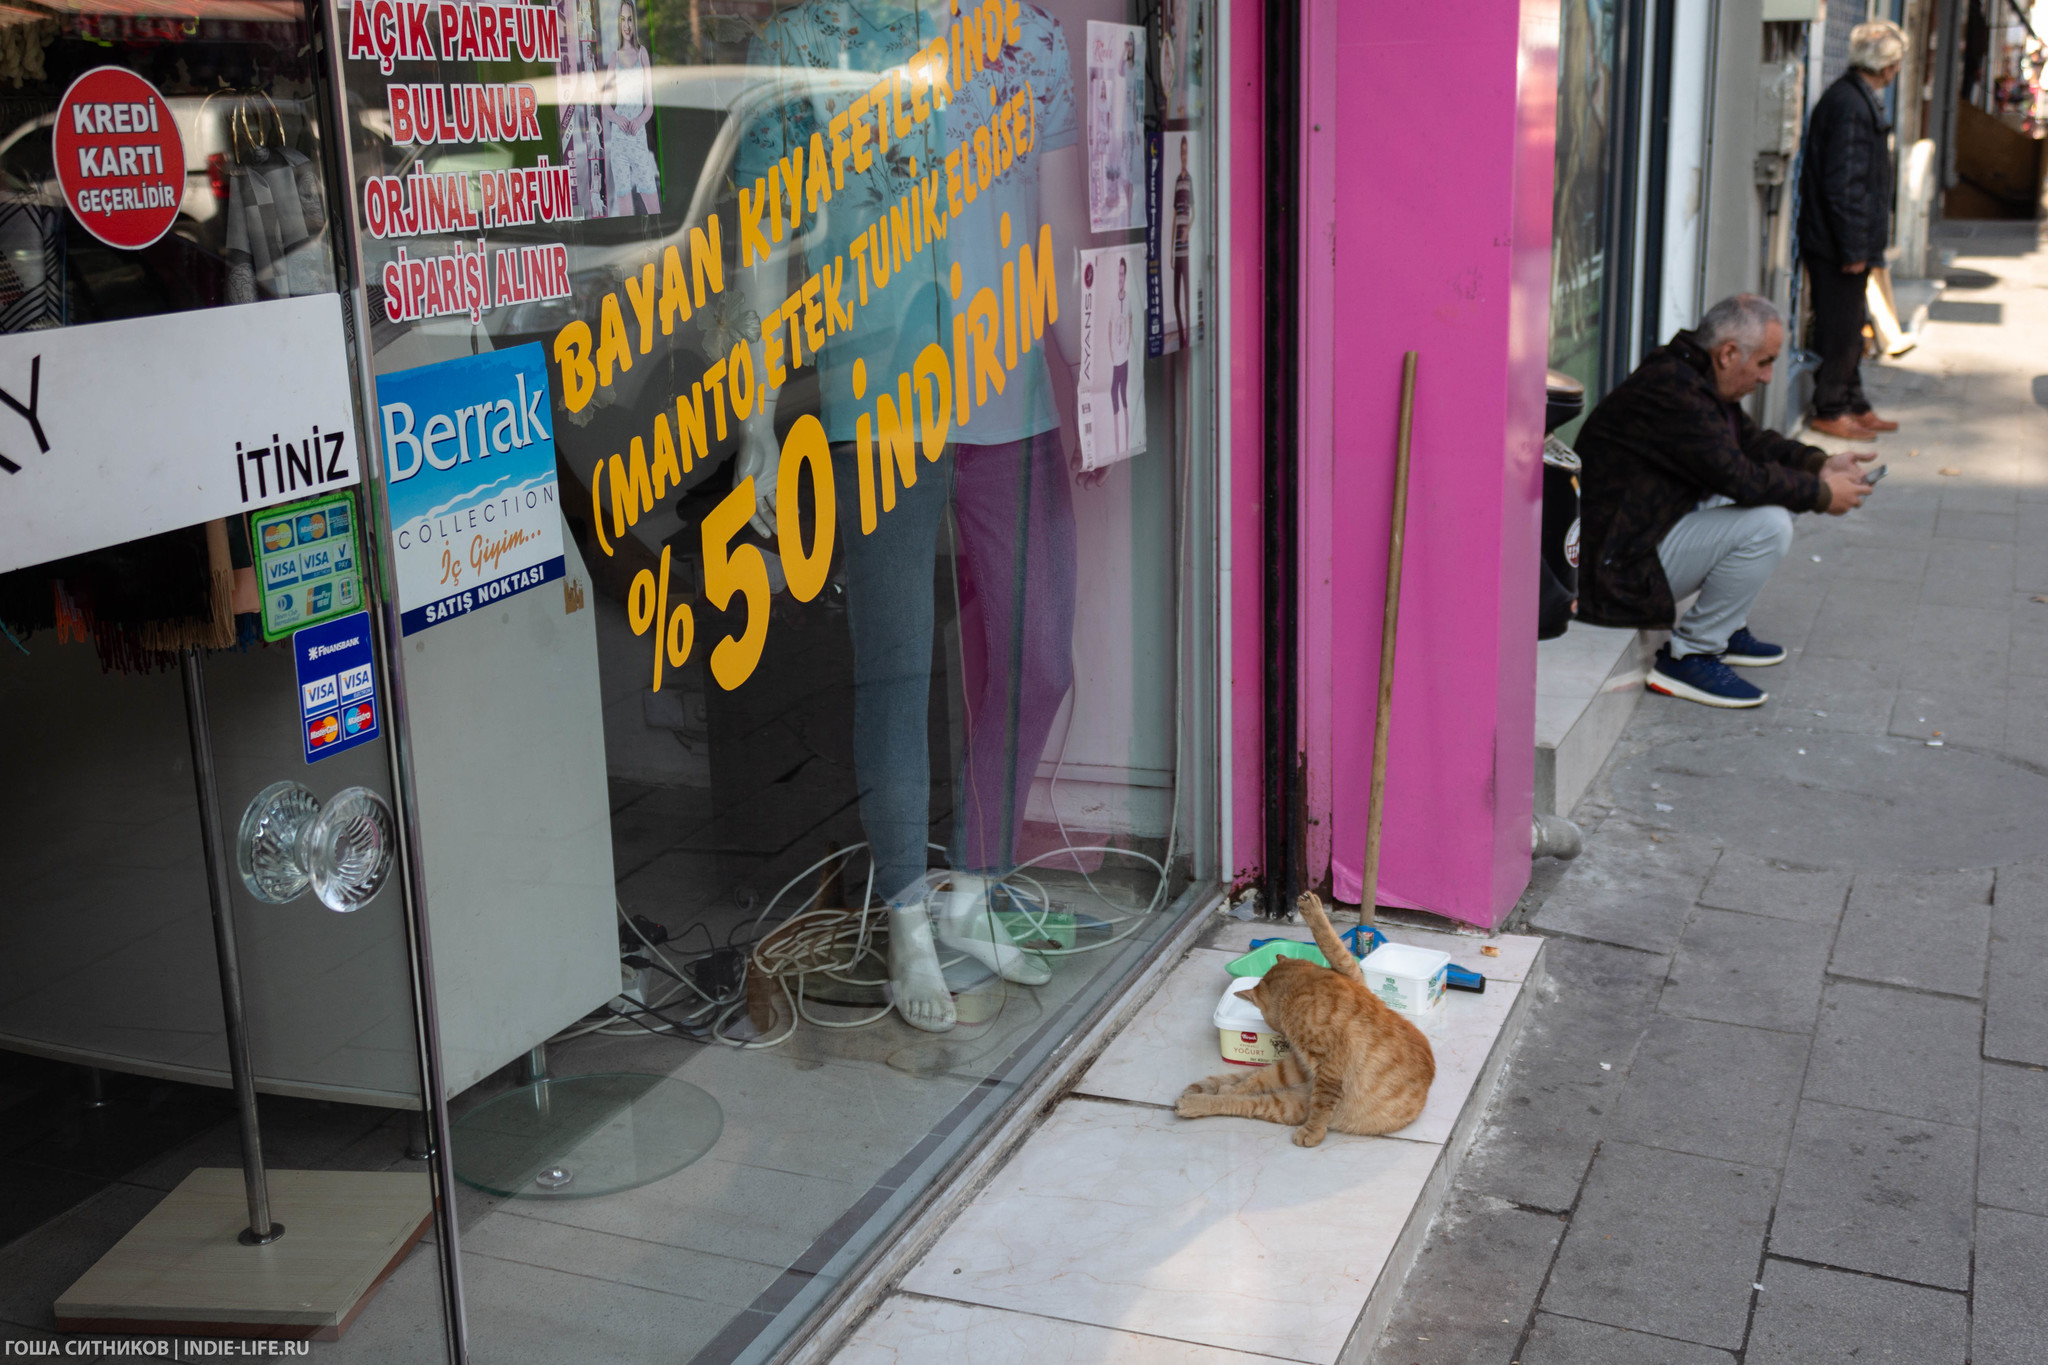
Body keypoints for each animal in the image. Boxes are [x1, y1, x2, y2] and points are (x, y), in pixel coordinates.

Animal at [1179, 892, 1433, 1146]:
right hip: (1289, 1076)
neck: (1303, 986)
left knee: (1244, 1099)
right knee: (1249, 1085)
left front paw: (1313, 1132)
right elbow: (1333, 945)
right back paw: (1209, 1094)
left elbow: (1321, 1105)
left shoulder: (1329, 1067)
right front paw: (1313, 911)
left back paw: (1196, 1102)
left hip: (1289, 1102)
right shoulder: (1353, 975)